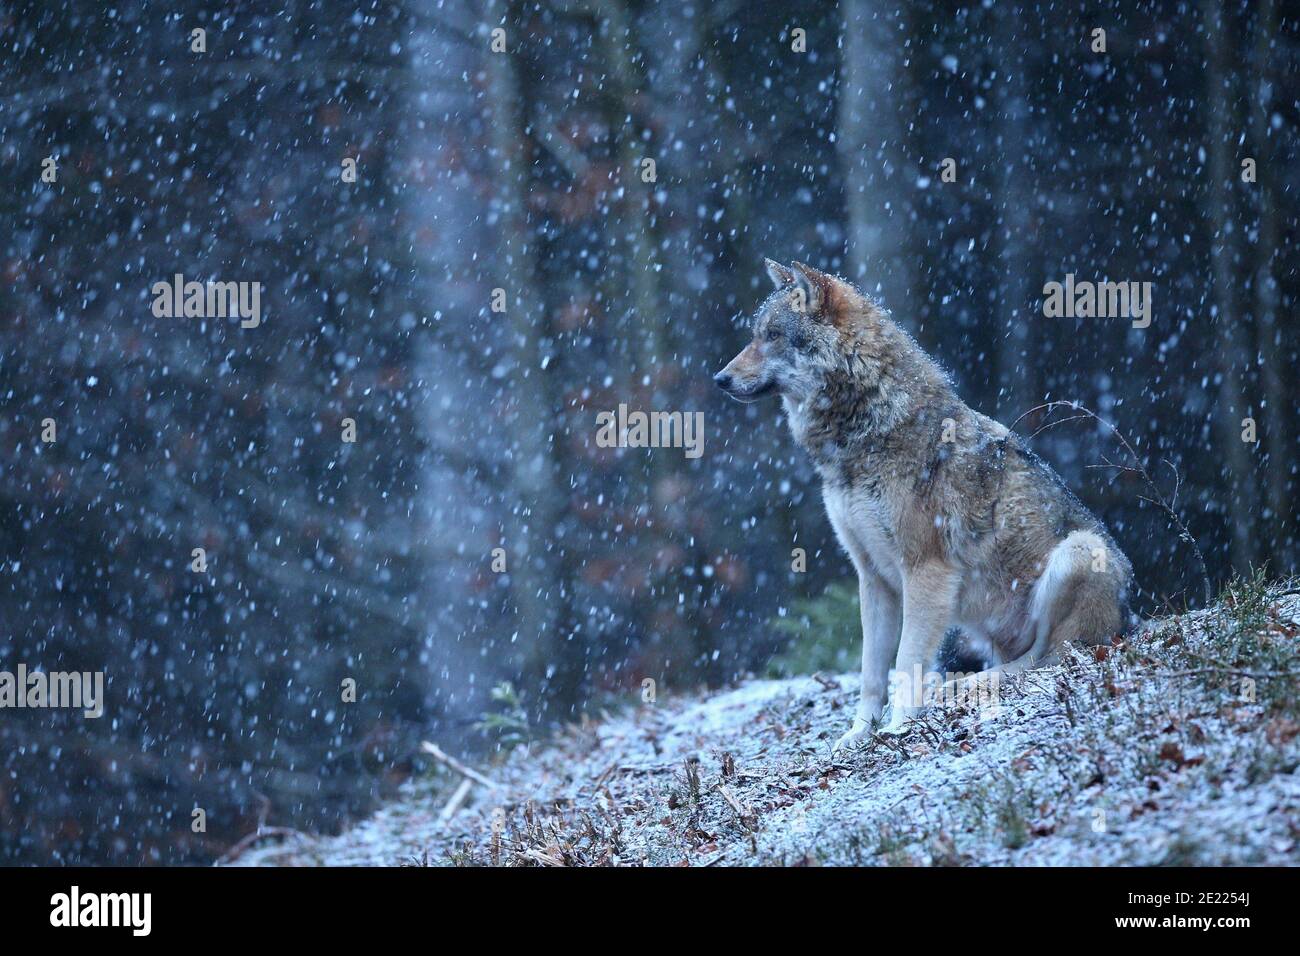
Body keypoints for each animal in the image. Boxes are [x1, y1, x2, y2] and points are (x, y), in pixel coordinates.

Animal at [717, 260, 1133, 749]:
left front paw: (899, 727)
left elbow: (907, 662)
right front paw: (859, 735)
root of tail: (1127, 620)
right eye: (756, 334)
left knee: (1052, 656)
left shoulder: (926, 570)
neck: (863, 431)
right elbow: (871, 672)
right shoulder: (873, 577)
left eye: (772, 335)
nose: (719, 379)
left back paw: (970, 684)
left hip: (1079, 551)